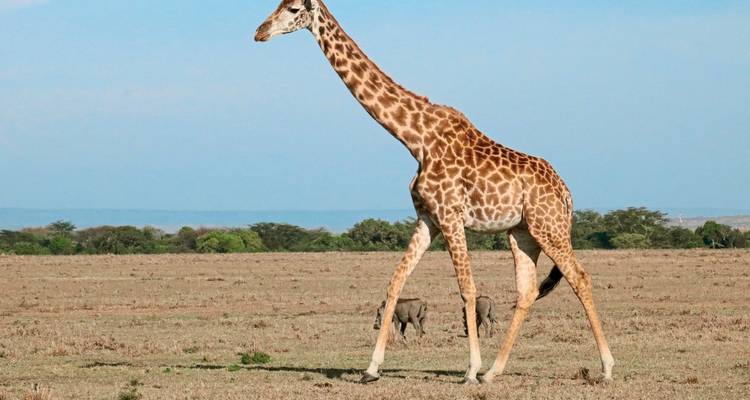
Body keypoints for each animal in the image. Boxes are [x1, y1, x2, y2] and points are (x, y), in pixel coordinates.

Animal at [254, 0, 615, 385]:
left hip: (550, 227)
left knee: (580, 278)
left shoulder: (450, 215)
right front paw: (371, 369)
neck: (415, 138)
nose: (259, 32)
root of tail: (566, 191)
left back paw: (605, 368)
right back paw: (494, 371)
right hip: (522, 233)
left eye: (293, 9)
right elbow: (395, 282)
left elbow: (467, 288)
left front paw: (470, 369)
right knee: (527, 290)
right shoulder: (427, 219)